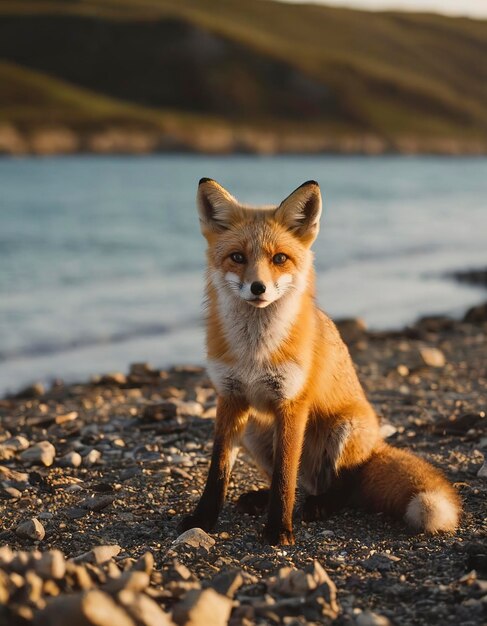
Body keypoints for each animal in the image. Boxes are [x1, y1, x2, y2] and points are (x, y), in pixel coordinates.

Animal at [181, 178, 464, 544]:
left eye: (280, 258)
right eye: (237, 257)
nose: (258, 288)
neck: (254, 353)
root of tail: (376, 446)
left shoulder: (292, 403)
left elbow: (284, 477)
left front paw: (278, 529)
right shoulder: (230, 398)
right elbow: (218, 472)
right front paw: (202, 519)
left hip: (343, 429)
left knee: (343, 485)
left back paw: (322, 505)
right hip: (256, 429)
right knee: (301, 483)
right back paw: (265, 498)